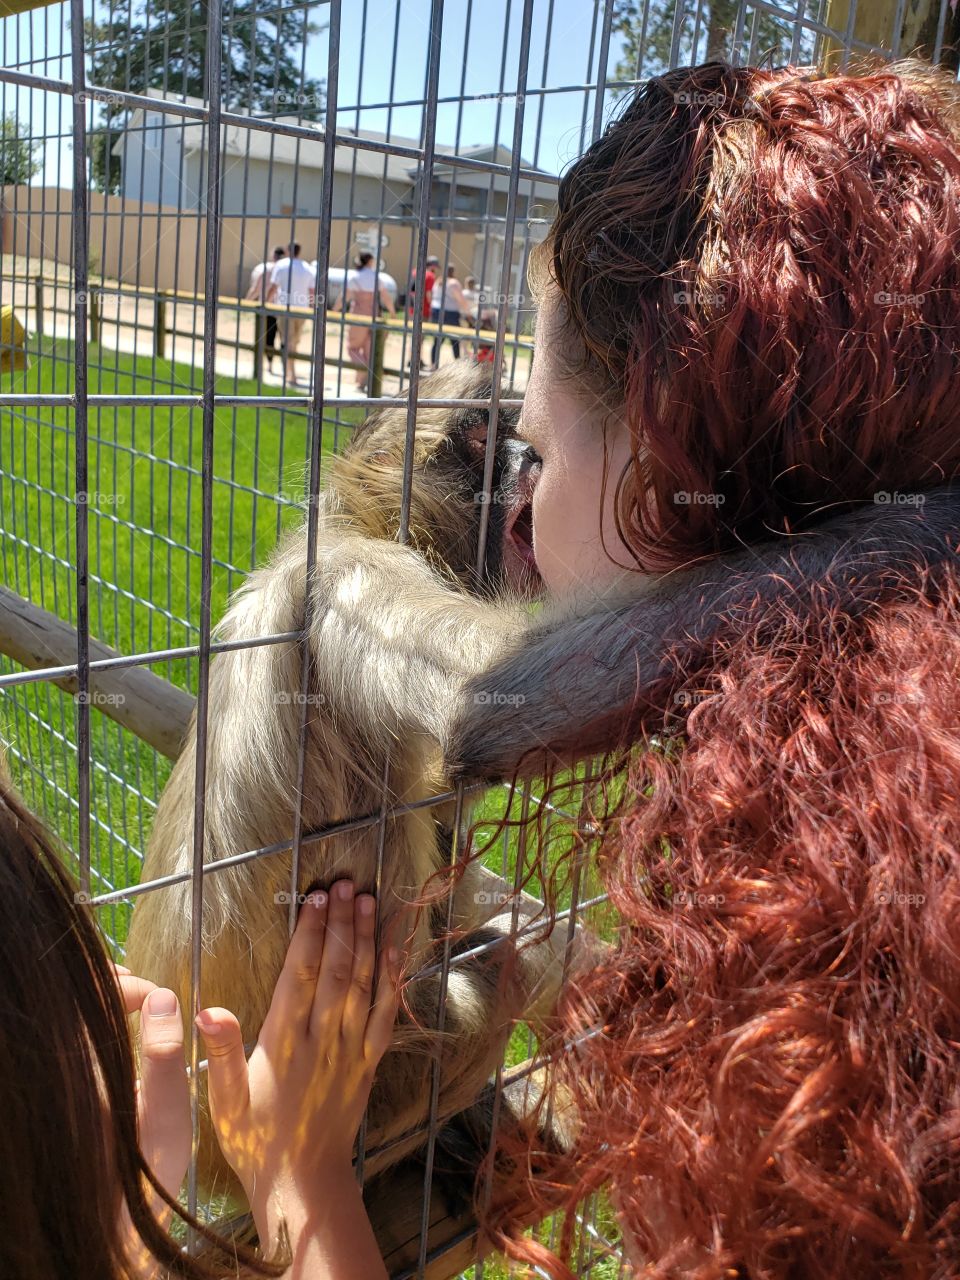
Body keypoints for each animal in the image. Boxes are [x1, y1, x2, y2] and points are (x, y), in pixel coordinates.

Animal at [123, 364, 563, 1205]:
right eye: (485, 437)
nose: (533, 458)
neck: (356, 525)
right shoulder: (351, 575)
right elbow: (486, 695)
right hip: (386, 1085)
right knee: (502, 964)